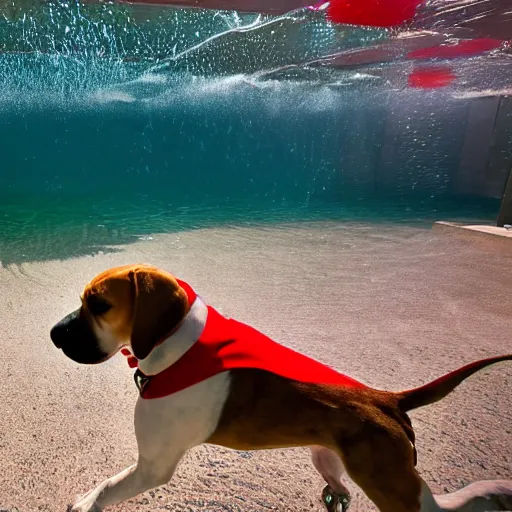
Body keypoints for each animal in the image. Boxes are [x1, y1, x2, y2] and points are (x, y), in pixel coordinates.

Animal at [51, 264, 512, 512]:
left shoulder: (152, 466)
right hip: (332, 461)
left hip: (393, 488)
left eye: (100, 306)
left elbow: (107, 487)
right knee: (347, 489)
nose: (54, 334)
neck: (180, 349)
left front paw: (87, 503)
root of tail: (385, 399)